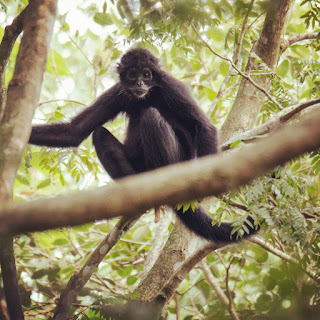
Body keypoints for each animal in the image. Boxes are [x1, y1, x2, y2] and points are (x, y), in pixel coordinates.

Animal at [28, 47, 256, 242]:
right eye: (132, 75)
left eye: (146, 75)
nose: (139, 84)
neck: (147, 95)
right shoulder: (119, 91)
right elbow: (74, 131)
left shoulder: (170, 86)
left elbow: (203, 126)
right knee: (99, 133)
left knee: (151, 116)